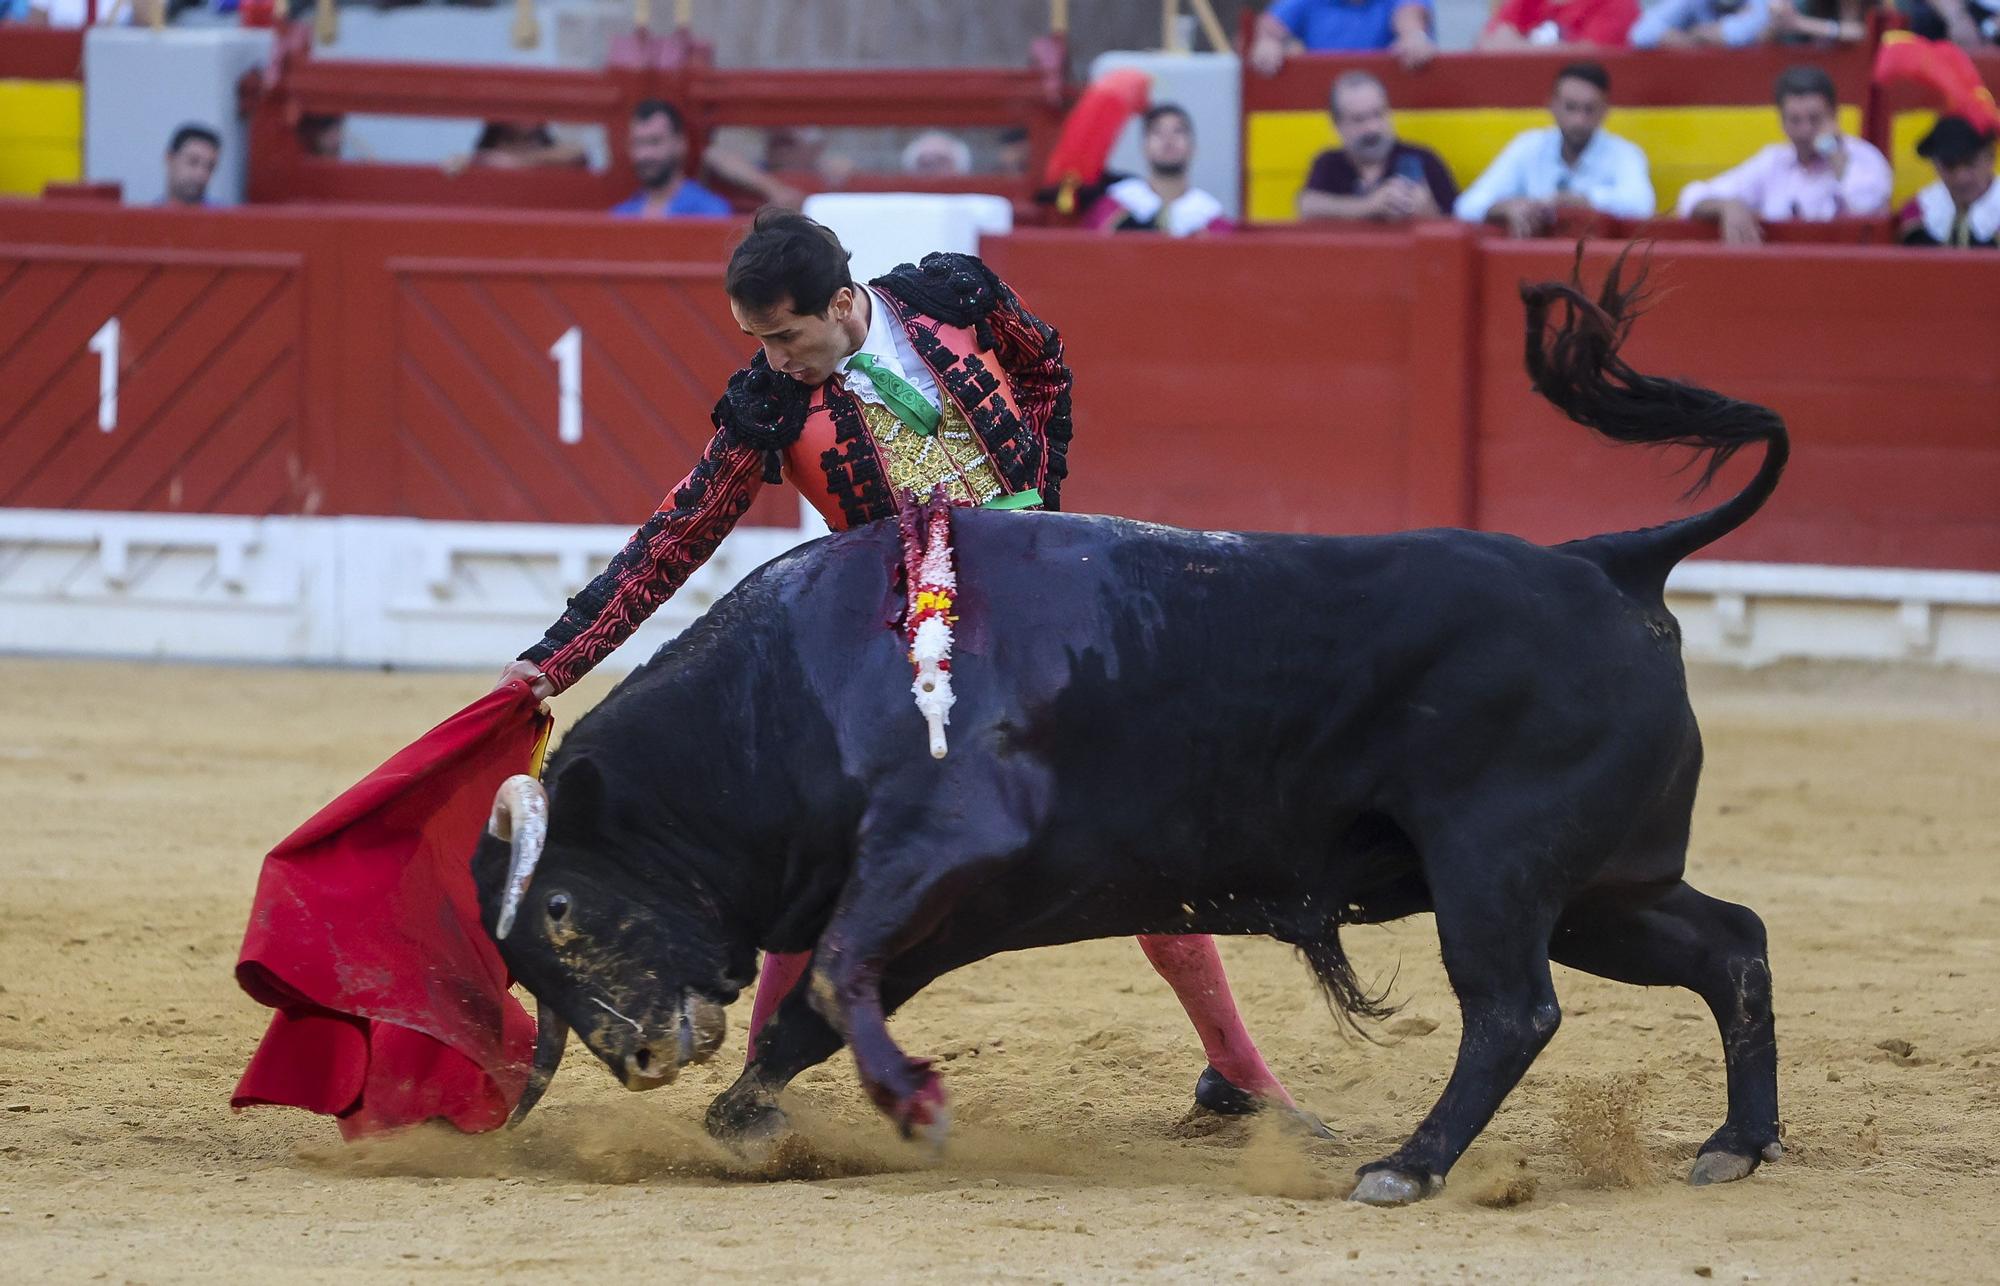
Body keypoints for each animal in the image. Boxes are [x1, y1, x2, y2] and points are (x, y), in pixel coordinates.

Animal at [476, 262, 1792, 1208]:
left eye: (561, 910)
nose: (635, 1057)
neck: (794, 693)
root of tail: (1608, 561)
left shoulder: (938, 853)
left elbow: (837, 976)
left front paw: (899, 1108)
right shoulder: (940, 905)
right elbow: (815, 1002)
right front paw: (749, 1119)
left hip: (1495, 869)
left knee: (1513, 1009)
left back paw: (1404, 1165)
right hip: (1600, 885)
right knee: (1726, 939)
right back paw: (1736, 1138)